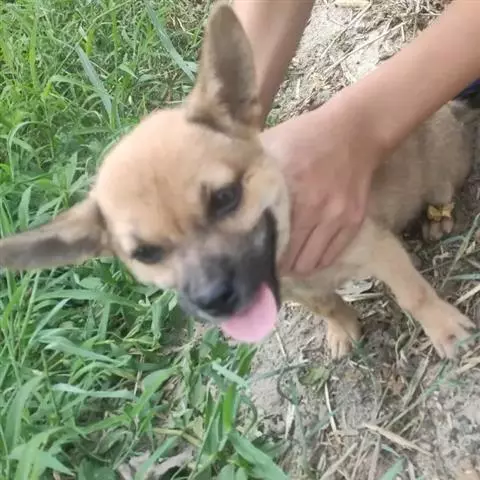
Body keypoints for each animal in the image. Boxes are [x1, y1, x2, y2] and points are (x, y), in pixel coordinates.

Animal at [0, 3, 478, 359]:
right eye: (146, 253)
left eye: (226, 198)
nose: (214, 300)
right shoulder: (298, 291)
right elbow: (327, 305)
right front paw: (342, 328)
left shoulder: (380, 251)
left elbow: (413, 295)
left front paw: (443, 329)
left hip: (440, 165)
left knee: (445, 187)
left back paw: (438, 217)